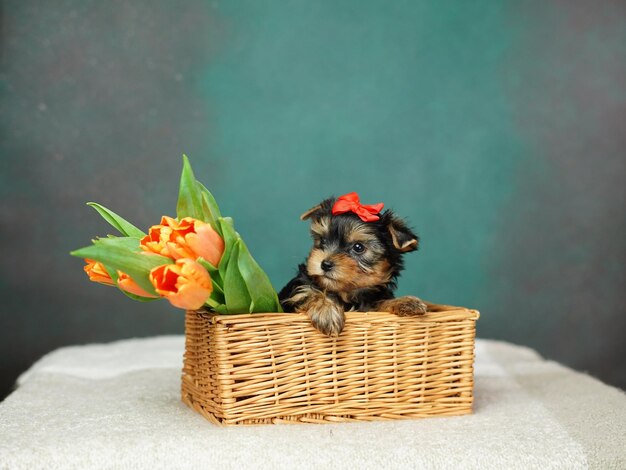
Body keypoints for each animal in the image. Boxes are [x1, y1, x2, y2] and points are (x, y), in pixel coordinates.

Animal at [280, 193, 426, 336]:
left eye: (358, 247)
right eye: (323, 240)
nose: (325, 264)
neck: (347, 294)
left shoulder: (369, 305)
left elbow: (379, 303)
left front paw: (406, 302)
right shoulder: (296, 289)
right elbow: (308, 291)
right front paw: (327, 311)